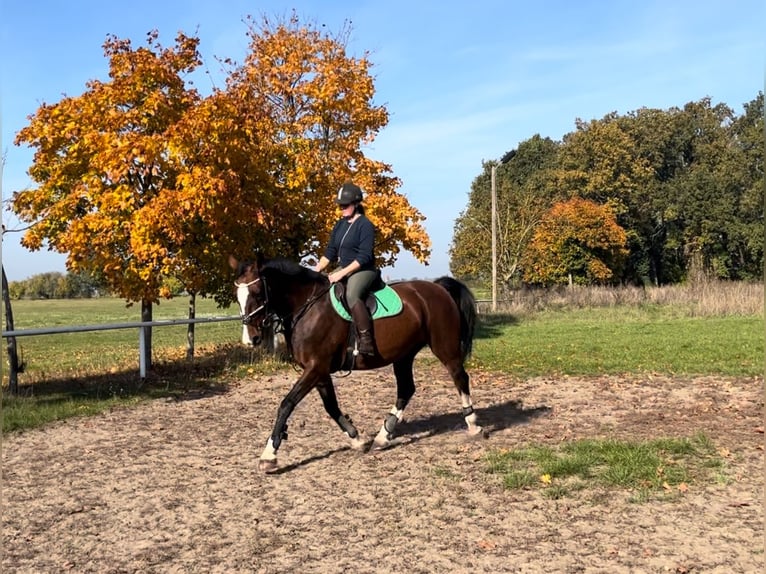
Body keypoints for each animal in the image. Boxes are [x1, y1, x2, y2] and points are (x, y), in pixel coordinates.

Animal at [230, 255, 486, 472]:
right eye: (237, 296)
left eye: (257, 292)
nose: (251, 339)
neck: (307, 307)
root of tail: (438, 288)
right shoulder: (320, 371)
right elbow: (331, 407)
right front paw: (357, 439)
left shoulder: (315, 368)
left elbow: (286, 404)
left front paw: (269, 455)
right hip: (403, 355)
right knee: (406, 389)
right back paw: (383, 436)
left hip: (444, 347)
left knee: (460, 377)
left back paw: (473, 424)